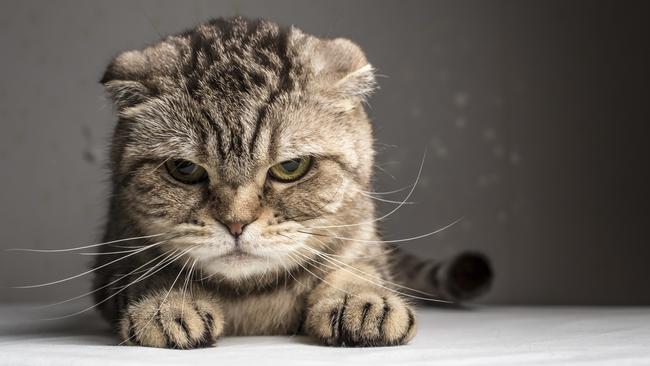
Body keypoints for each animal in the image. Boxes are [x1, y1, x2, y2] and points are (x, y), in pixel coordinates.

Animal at [90, 17, 492, 348]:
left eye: (291, 166)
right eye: (185, 169)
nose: (236, 223)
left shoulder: (361, 239)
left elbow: (362, 270)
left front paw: (362, 299)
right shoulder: (114, 258)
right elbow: (143, 276)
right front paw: (166, 303)